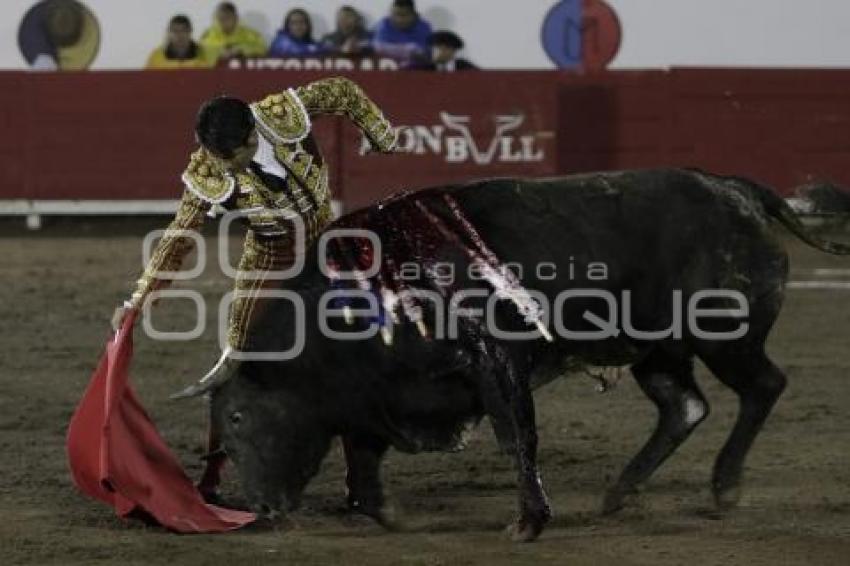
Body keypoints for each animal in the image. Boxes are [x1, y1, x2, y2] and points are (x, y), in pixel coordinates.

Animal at [176, 170, 844, 544]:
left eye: (237, 417)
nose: (262, 509)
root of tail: (737, 190)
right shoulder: (375, 397)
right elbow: (363, 469)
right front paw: (395, 518)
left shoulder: (496, 364)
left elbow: (517, 438)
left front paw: (528, 523)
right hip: (659, 351)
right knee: (684, 406)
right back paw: (620, 493)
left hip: (726, 336)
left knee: (762, 387)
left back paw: (724, 486)